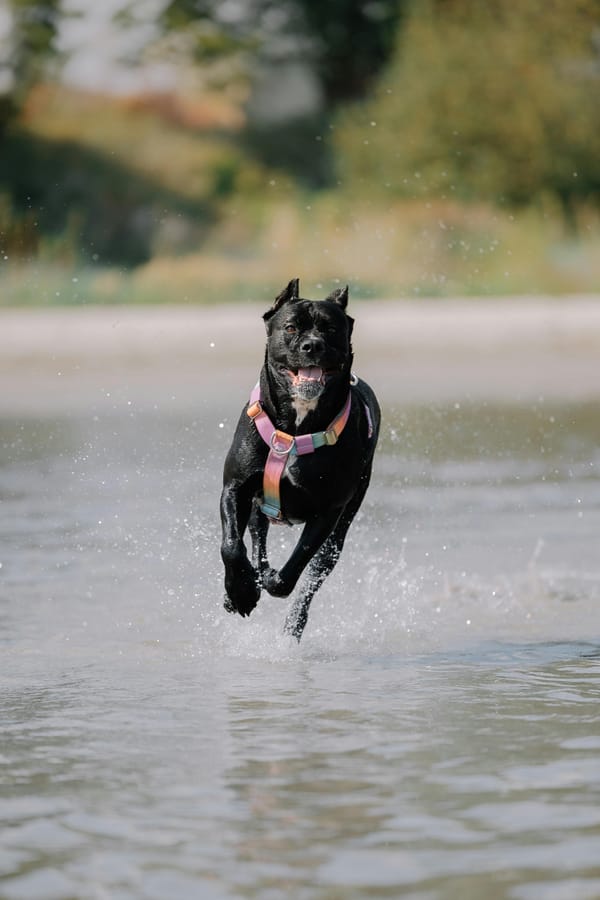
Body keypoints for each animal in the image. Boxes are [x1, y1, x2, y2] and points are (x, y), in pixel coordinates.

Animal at [219, 282, 380, 640]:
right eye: (291, 327)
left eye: (331, 329)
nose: (312, 345)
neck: (296, 428)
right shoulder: (236, 488)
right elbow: (231, 546)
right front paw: (240, 592)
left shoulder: (328, 512)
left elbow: (295, 568)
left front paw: (268, 583)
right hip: (258, 509)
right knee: (256, 540)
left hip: (341, 530)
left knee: (311, 579)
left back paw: (292, 625)